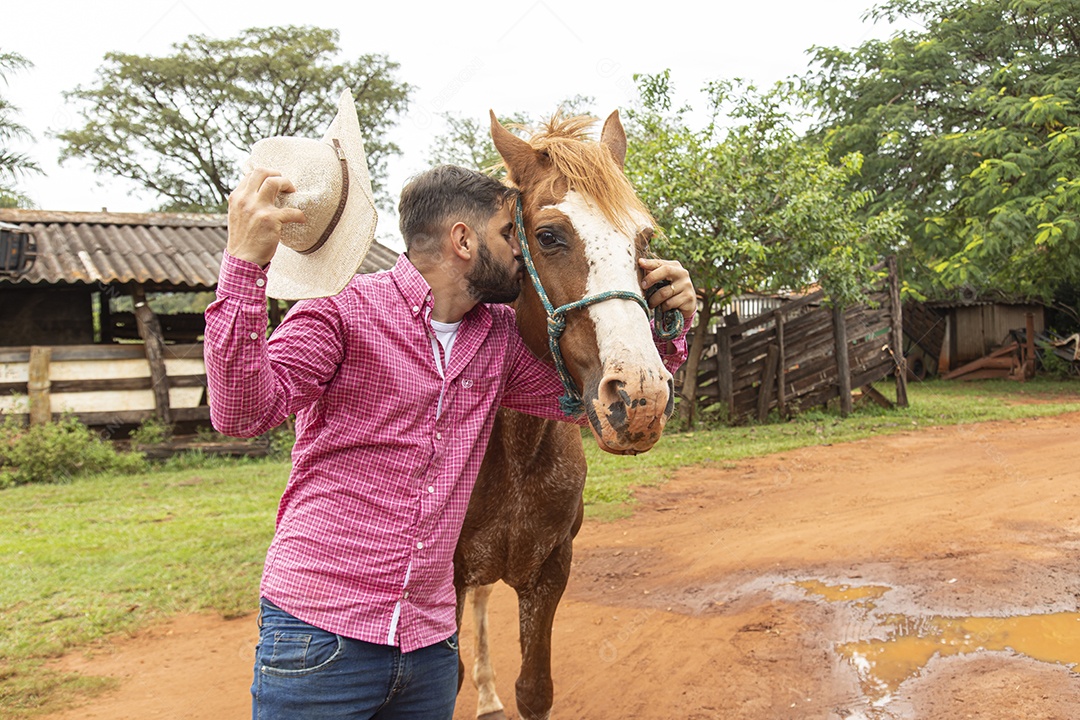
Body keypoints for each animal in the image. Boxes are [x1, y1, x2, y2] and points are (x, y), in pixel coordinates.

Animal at [453, 110, 679, 720]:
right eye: (549, 235)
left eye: (644, 238)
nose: (641, 397)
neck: (512, 448)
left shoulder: (550, 570)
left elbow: (535, 690)